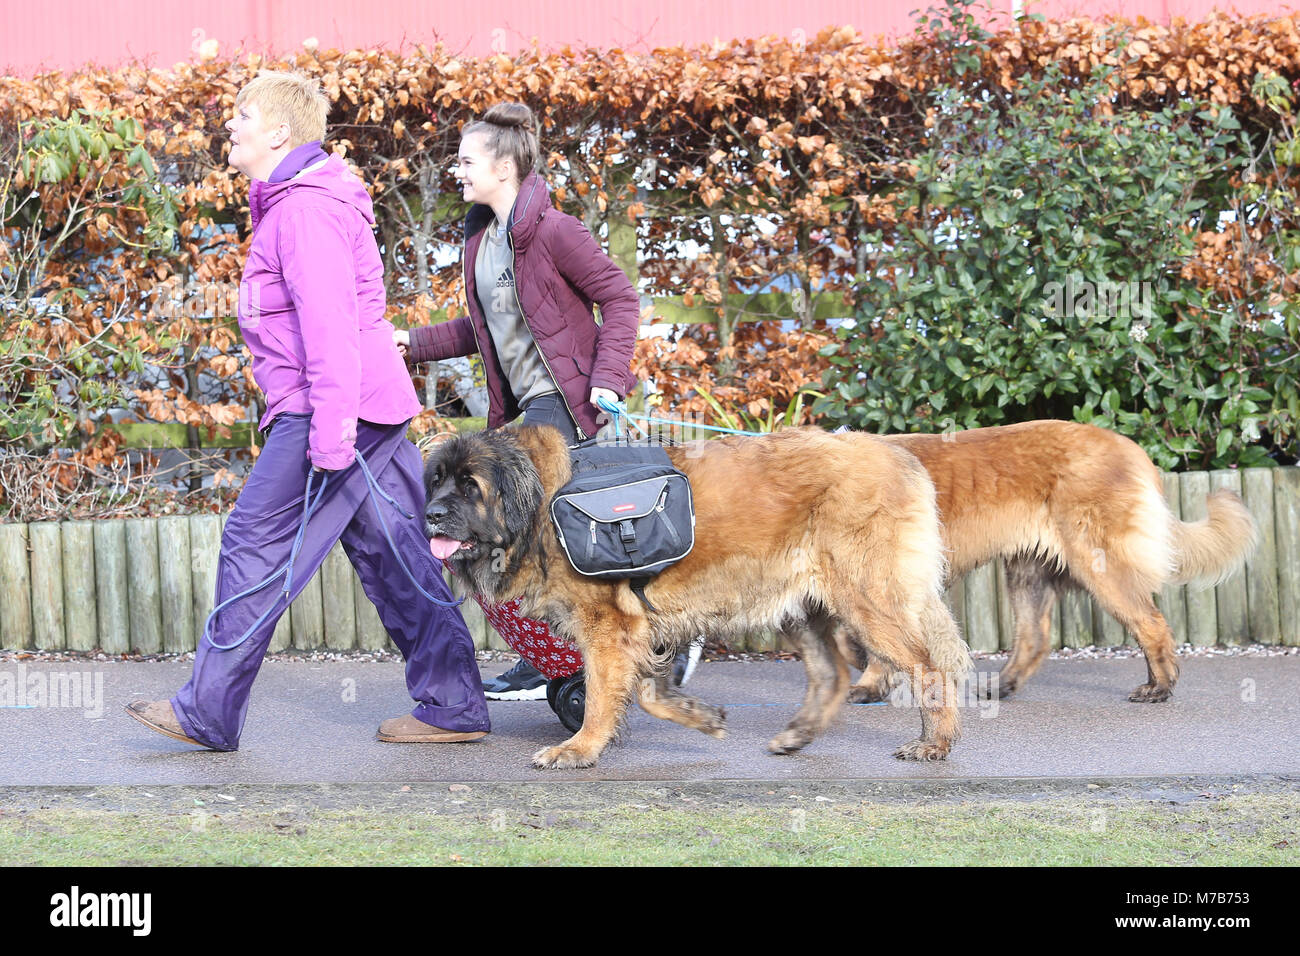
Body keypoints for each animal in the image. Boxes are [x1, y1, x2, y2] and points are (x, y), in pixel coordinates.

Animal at [428, 426, 977, 770]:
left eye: (470, 486)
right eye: (435, 482)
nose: (430, 515)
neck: (542, 500)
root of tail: (900, 454)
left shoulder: (609, 627)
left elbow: (602, 696)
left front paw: (579, 749)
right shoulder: (639, 631)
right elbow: (646, 692)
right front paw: (700, 717)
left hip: (867, 600)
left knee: (930, 666)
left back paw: (935, 743)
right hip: (803, 607)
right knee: (833, 674)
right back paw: (798, 734)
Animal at [847, 421, 1253, 707]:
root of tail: (1128, 447)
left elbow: (878, 644)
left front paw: (869, 684)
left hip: (1097, 565)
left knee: (1151, 624)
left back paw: (1160, 688)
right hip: (1029, 572)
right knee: (1035, 636)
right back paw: (1002, 685)